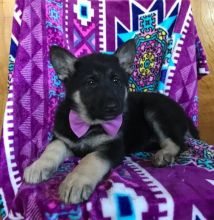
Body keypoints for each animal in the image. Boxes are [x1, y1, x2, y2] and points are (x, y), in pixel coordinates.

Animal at [23, 39, 199, 203]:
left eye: (116, 81)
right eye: (91, 83)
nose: (113, 107)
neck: (88, 124)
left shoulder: (113, 147)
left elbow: (91, 158)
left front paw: (76, 181)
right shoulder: (62, 138)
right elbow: (52, 149)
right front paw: (37, 166)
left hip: (155, 110)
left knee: (178, 143)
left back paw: (164, 154)